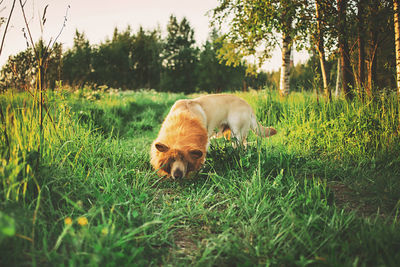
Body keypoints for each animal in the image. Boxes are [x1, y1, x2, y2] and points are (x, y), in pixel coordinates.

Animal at [148, 94, 276, 180]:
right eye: (171, 159)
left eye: (185, 159)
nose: (177, 175)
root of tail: (248, 105)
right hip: (232, 136)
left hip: (237, 134)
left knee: (242, 149)